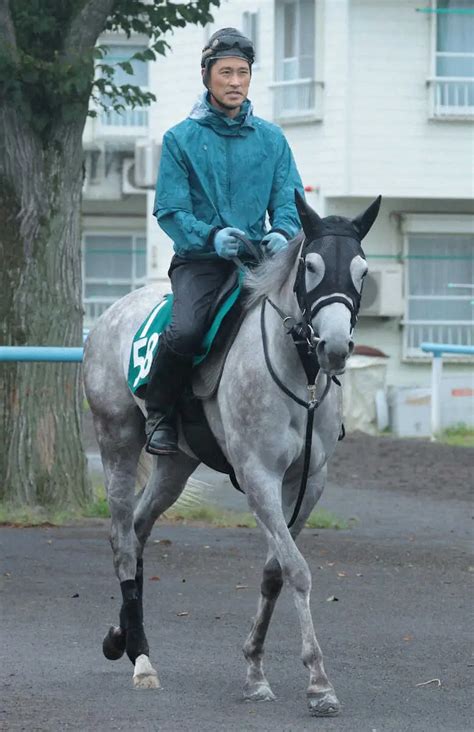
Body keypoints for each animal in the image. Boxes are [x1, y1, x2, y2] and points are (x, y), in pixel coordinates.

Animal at [83, 192, 382, 716]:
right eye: (310, 265)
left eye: (362, 269)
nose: (336, 347)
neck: (298, 375)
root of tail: (110, 313)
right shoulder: (259, 476)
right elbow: (297, 570)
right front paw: (318, 682)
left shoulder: (308, 483)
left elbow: (274, 572)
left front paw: (255, 669)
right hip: (115, 439)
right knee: (122, 539)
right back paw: (142, 662)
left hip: (176, 464)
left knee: (139, 529)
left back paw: (124, 637)